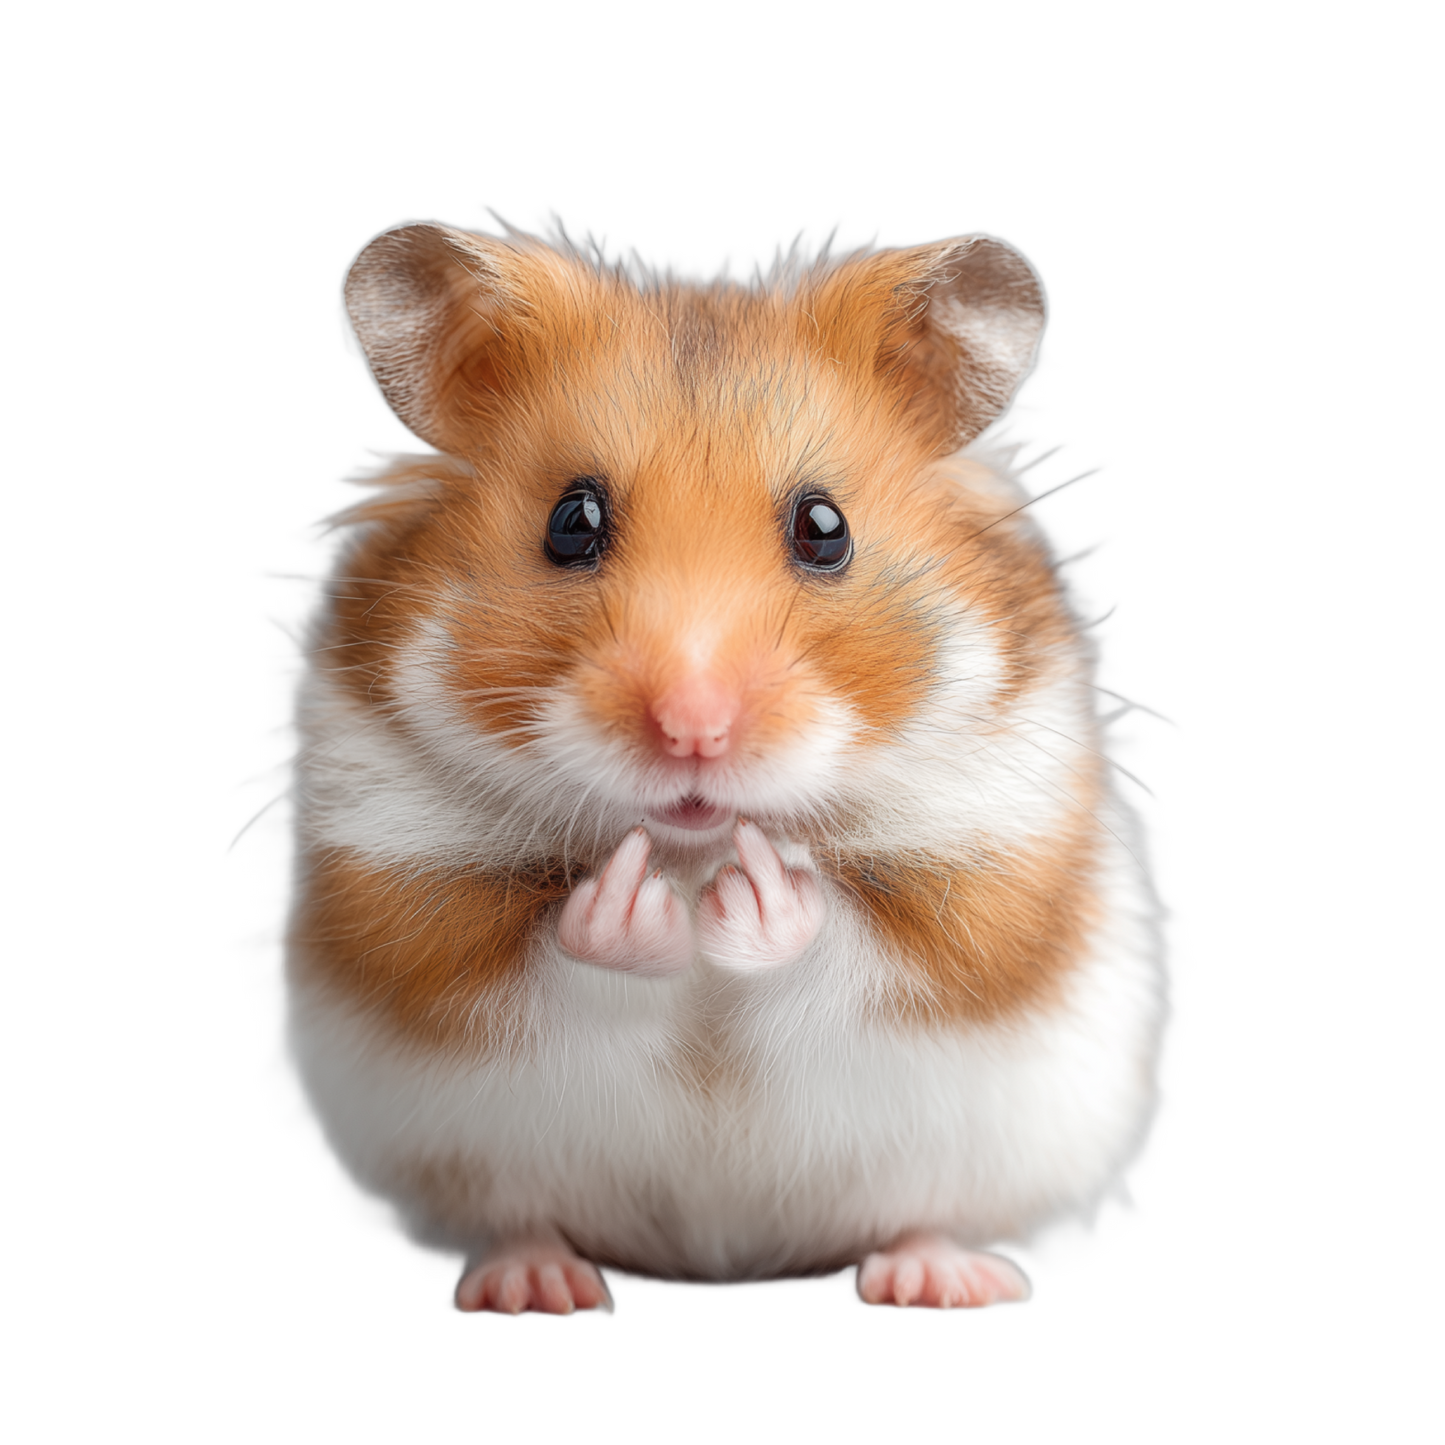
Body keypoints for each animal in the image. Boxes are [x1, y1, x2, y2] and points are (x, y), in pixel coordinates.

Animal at [286, 221, 1161, 1315]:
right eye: (571, 521)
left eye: (824, 527)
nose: (692, 731)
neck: (690, 849)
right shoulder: (407, 899)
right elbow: (543, 957)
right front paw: (630, 896)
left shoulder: (988, 884)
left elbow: (851, 944)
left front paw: (764, 884)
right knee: (520, 1217)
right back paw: (533, 1283)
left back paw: (943, 1277)